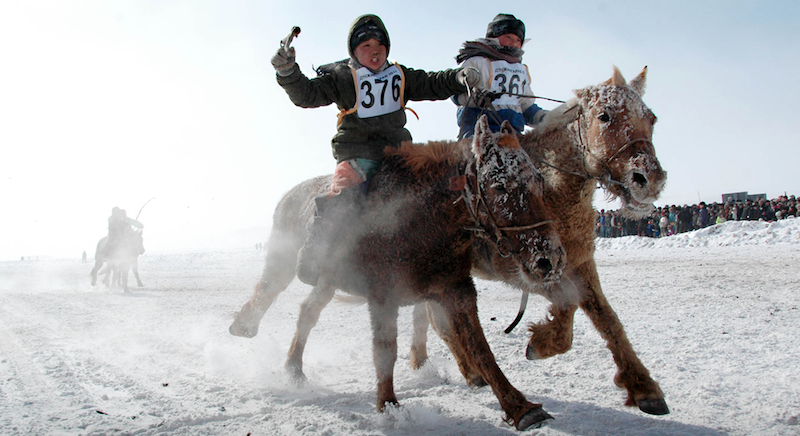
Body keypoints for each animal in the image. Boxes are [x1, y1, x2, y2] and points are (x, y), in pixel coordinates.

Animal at [231, 117, 568, 430]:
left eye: (538, 179)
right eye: (499, 185)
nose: (549, 260)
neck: (421, 219)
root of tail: (288, 195)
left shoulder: (456, 289)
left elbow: (479, 347)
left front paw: (521, 407)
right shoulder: (383, 295)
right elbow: (385, 350)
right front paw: (388, 406)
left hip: (328, 279)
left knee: (307, 312)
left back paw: (293, 368)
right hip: (284, 260)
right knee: (268, 290)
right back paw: (244, 326)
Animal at [410, 65, 664, 416]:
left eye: (651, 118)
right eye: (604, 115)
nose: (649, 180)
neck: (552, 191)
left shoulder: (580, 263)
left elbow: (607, 319)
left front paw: (644, 388)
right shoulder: (524, 268)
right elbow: (568, 304)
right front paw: (541, 344)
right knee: (437, 319)